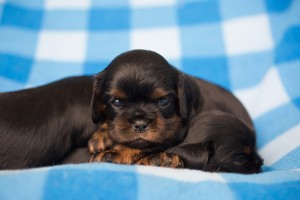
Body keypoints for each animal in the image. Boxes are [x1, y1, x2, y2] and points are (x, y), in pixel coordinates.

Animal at [87, 49, 262, 173]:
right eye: (116, 102)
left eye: (163, 101)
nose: (140, 124)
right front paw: (102, 135)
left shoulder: (173, 132)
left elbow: (148, 144)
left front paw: (115, 153)